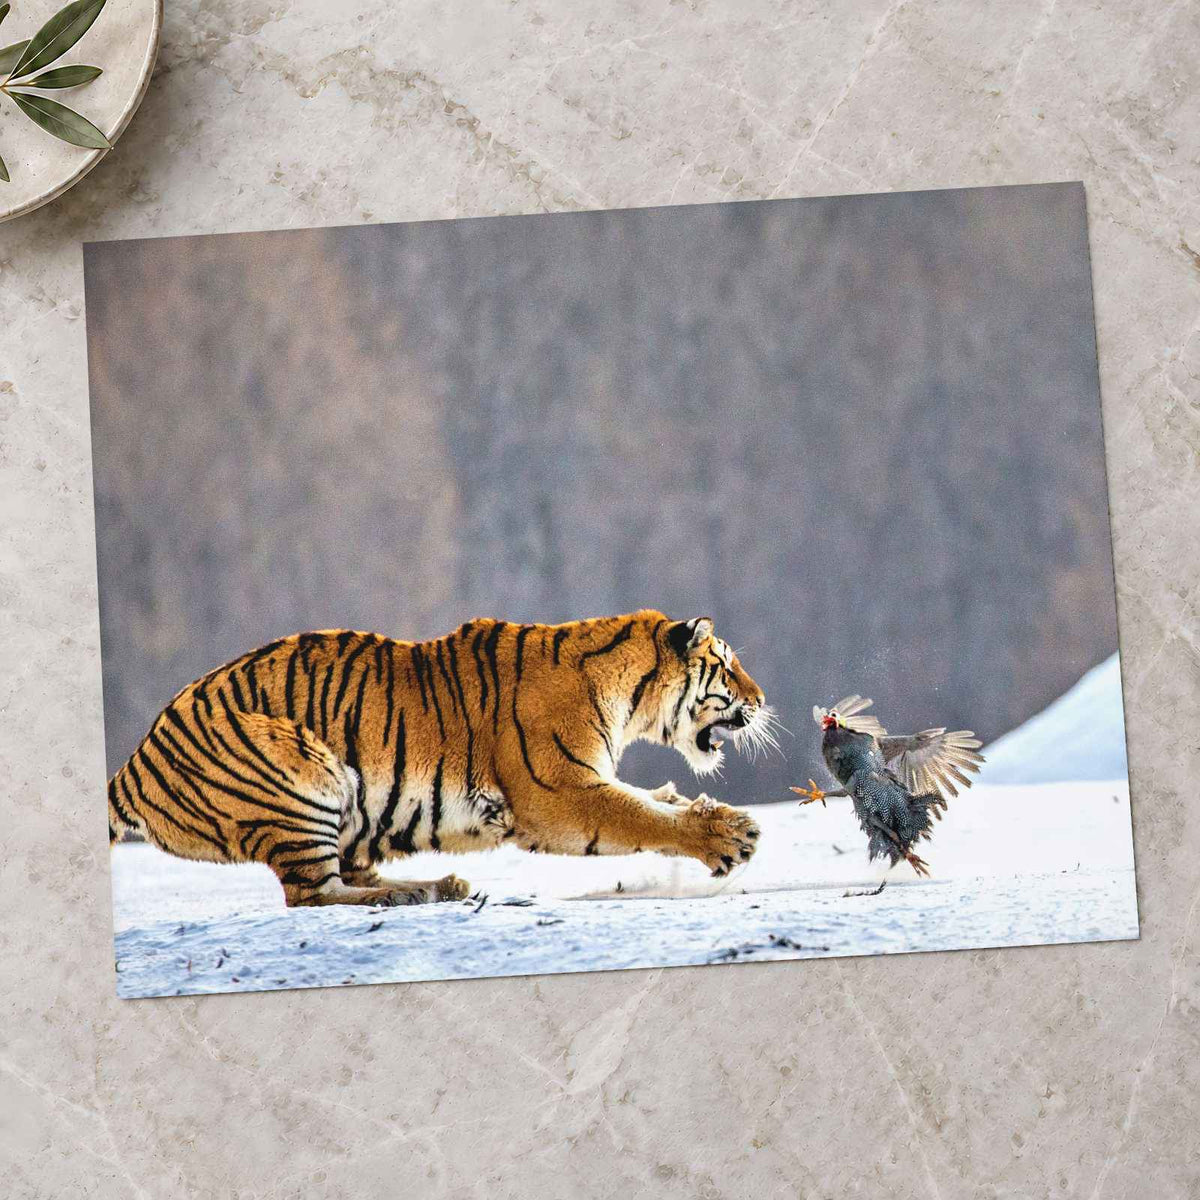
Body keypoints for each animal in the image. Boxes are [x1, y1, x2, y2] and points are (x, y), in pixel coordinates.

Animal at [107, 610, 778, 908]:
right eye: (727, 666)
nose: (762, 699)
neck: (628, 694)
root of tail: (136, 758)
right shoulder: (560, 794)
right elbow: (640, 816)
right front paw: (729, 838)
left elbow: (653, 801)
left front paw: (706, 811)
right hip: (300, 772)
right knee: (313, 894)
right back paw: (407, 897)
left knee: (348, 875)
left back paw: (440, 885)